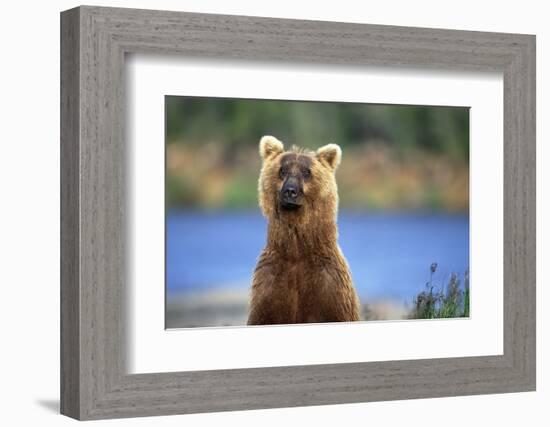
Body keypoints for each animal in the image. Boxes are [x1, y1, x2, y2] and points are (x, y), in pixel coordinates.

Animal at [249, 135, 362, 326]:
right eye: (282, 170)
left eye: (307, 172)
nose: (290, 191)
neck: (297, 253)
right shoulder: (269, 286)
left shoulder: (330, 288)